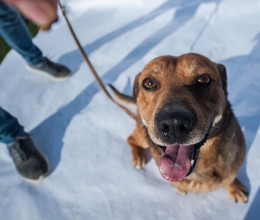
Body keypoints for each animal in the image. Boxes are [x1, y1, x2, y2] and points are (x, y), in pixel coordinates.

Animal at [110, 53, 248, 203]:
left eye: (204, 79)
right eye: (149, 83)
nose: (173, 124)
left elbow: (230, 177)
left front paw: (234, 187)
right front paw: (181, 190)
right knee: (130, 139)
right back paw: (138, 156)